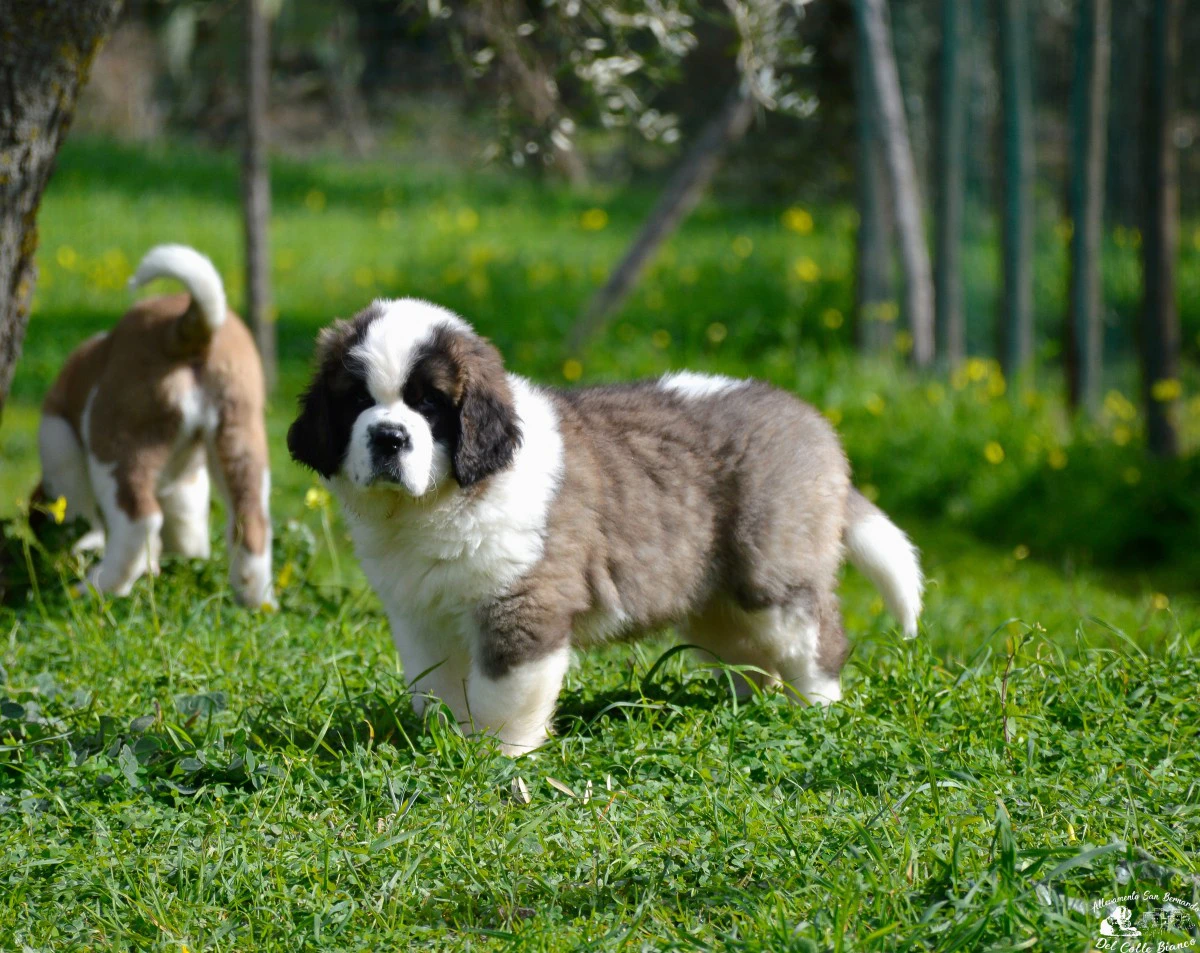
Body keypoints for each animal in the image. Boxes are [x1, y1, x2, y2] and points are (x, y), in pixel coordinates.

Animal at [36, 243, 274, 602]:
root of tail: (179, 333)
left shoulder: (59, 445)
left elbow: (81, 514)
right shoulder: (189, 484)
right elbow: (188, 524)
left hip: (115, 442)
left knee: (139, 521)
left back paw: (99, 586)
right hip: (240, 437)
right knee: (251, 521)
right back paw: (256, 599)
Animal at [285, 297, 921, 748]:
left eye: (430, 405)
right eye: (356, 401)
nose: (389, 436)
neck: (437, 503)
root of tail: (813, 420)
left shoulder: (522, 604)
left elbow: (505, 693)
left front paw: (498, 756)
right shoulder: (421, 615)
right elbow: (436, 684)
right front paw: (444, 743)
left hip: (774, 579)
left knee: (814, 641)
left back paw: (817, 710)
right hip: (716, 601)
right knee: (748, 655)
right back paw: (750, 708)